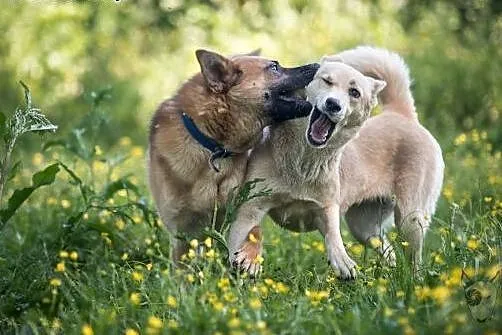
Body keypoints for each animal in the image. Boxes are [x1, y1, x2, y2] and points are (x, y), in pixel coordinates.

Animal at [147, 49, 318, 260]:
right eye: (274, 67)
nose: (318, 65)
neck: (214, 147)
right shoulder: (181, 228)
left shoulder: (241, 206)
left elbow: (254, 230)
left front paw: (250, 257)